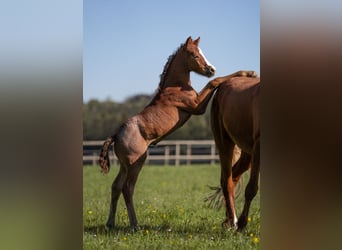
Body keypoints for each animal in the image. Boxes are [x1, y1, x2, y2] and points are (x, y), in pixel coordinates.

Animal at [211, 75, 260, 231]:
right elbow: (251, 189)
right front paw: (242, 224)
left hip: (247, 154)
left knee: (234, 176)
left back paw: (228, 219)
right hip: (225, 144)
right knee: (227, 181)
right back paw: (233, 221)